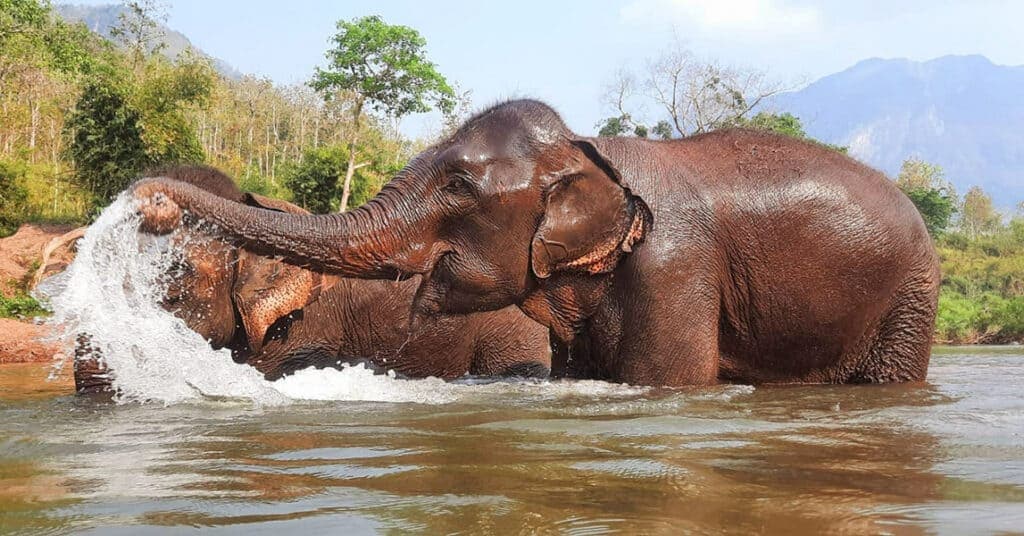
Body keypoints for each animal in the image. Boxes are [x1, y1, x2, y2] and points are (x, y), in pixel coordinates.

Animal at [132, 99, 940, 387]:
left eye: (460, 186)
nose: (150, 202)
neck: (586, 151)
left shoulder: (676, 264)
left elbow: (670, 381)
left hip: (911, 297)